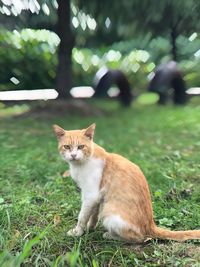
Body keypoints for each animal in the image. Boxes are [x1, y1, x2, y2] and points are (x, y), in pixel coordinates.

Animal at [52, 124, 200, 244]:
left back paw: (110, 235)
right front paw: (90, 227)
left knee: (141, 238)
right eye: (67, 147)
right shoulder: (98, 197)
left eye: (81, 147)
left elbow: (82, 216)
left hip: (110, 215)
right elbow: (93, 214)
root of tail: (151, 225)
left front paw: (78, 232)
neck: (80, 164)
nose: (73, 155)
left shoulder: (91, 195)